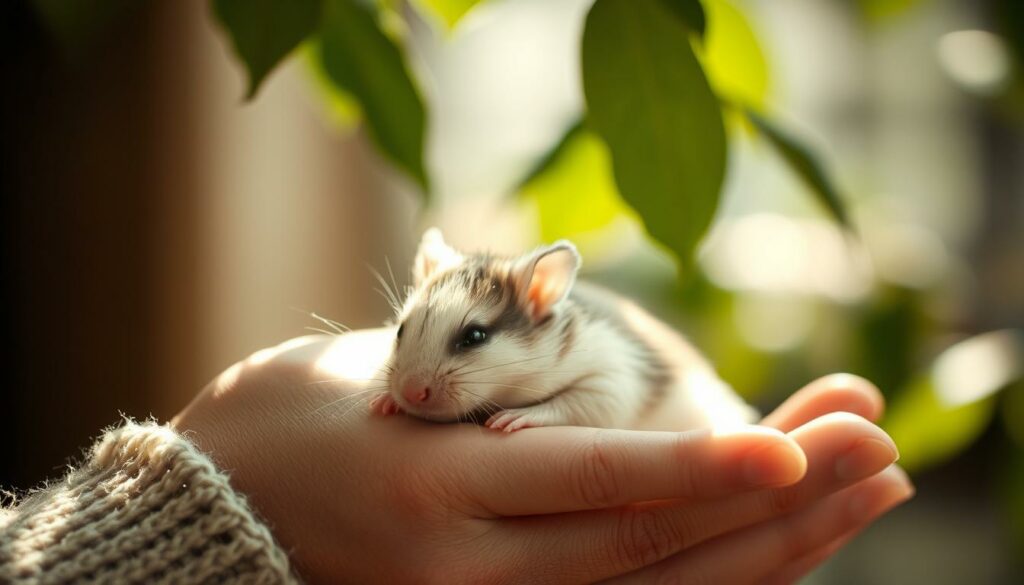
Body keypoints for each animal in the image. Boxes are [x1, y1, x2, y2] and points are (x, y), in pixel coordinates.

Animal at [372, 228, 757, 434]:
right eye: (400, 331)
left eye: (475, 336)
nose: (408, 393)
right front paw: (383, 401)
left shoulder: (611, 379)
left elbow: (578, 403)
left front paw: (513, 417)